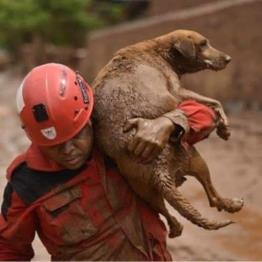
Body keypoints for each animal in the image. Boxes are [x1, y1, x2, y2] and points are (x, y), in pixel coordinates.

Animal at [92, 29, 244, 237]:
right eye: (203, 44)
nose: (229, 59)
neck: (160, 50)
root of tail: (159, 168)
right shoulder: (178, 91)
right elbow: (214, 101)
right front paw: (224, 128)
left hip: (144, 188)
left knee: (166, 212)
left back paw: (175, 228)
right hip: (194, 158)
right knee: (212, 196)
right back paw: (232, 204)